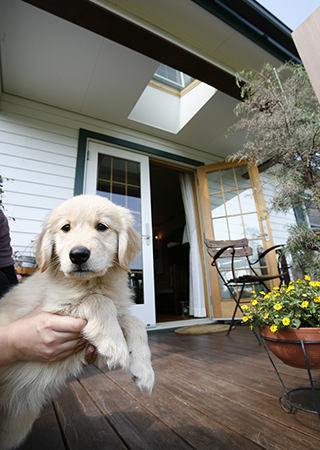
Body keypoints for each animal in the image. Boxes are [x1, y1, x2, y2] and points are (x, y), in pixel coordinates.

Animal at [0, 194, 155, 450]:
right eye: (66, 228)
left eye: (101, 226)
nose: (78, 255)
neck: (93, 283)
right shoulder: (55, 307)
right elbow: (97, 301)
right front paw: (115, 344)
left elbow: (135, 322)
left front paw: (143, 369)